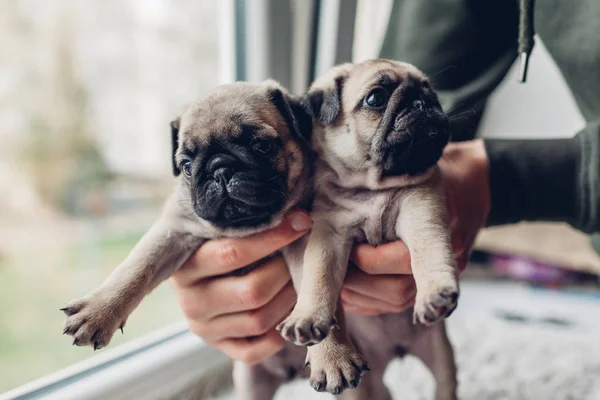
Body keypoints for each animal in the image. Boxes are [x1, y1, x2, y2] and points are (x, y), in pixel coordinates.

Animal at [60, 79, 314, 352]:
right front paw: (99, 311)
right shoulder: (173, 231)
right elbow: (136, 268)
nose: (220, 168)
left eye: (263, 147)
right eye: (187, 166)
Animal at [238, 60, 454, 400]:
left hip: (440, 356)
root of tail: (397, 350)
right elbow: (318, 278)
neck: (371, 188)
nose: (423, 103)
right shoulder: (328, 237)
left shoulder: (421, 209)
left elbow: (427, 250)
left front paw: (434, 293)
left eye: (432, 94)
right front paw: (308, 317)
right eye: (376, 98)